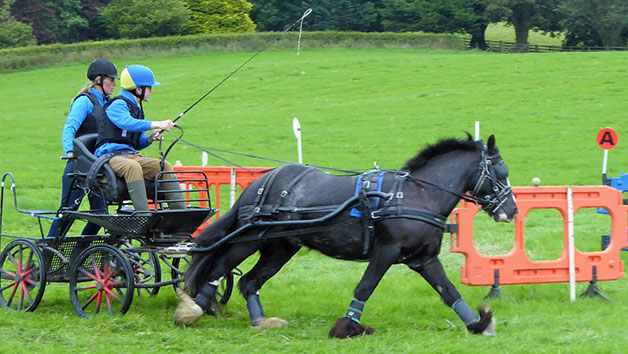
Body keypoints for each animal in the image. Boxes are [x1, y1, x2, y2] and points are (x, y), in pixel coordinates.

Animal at [174, 133, 516, 338]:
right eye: (501, 173)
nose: (511, 210)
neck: (417, 195)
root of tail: (260, 184)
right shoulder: (386, 252)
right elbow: (365, 287)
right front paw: (347, 326)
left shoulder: (423, 259)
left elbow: (449, 292)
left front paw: (478, 323)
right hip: (250, 239)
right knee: (219, 269)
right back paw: (194, 309)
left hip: (281, 248)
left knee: (248, 282)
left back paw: (259, 321)